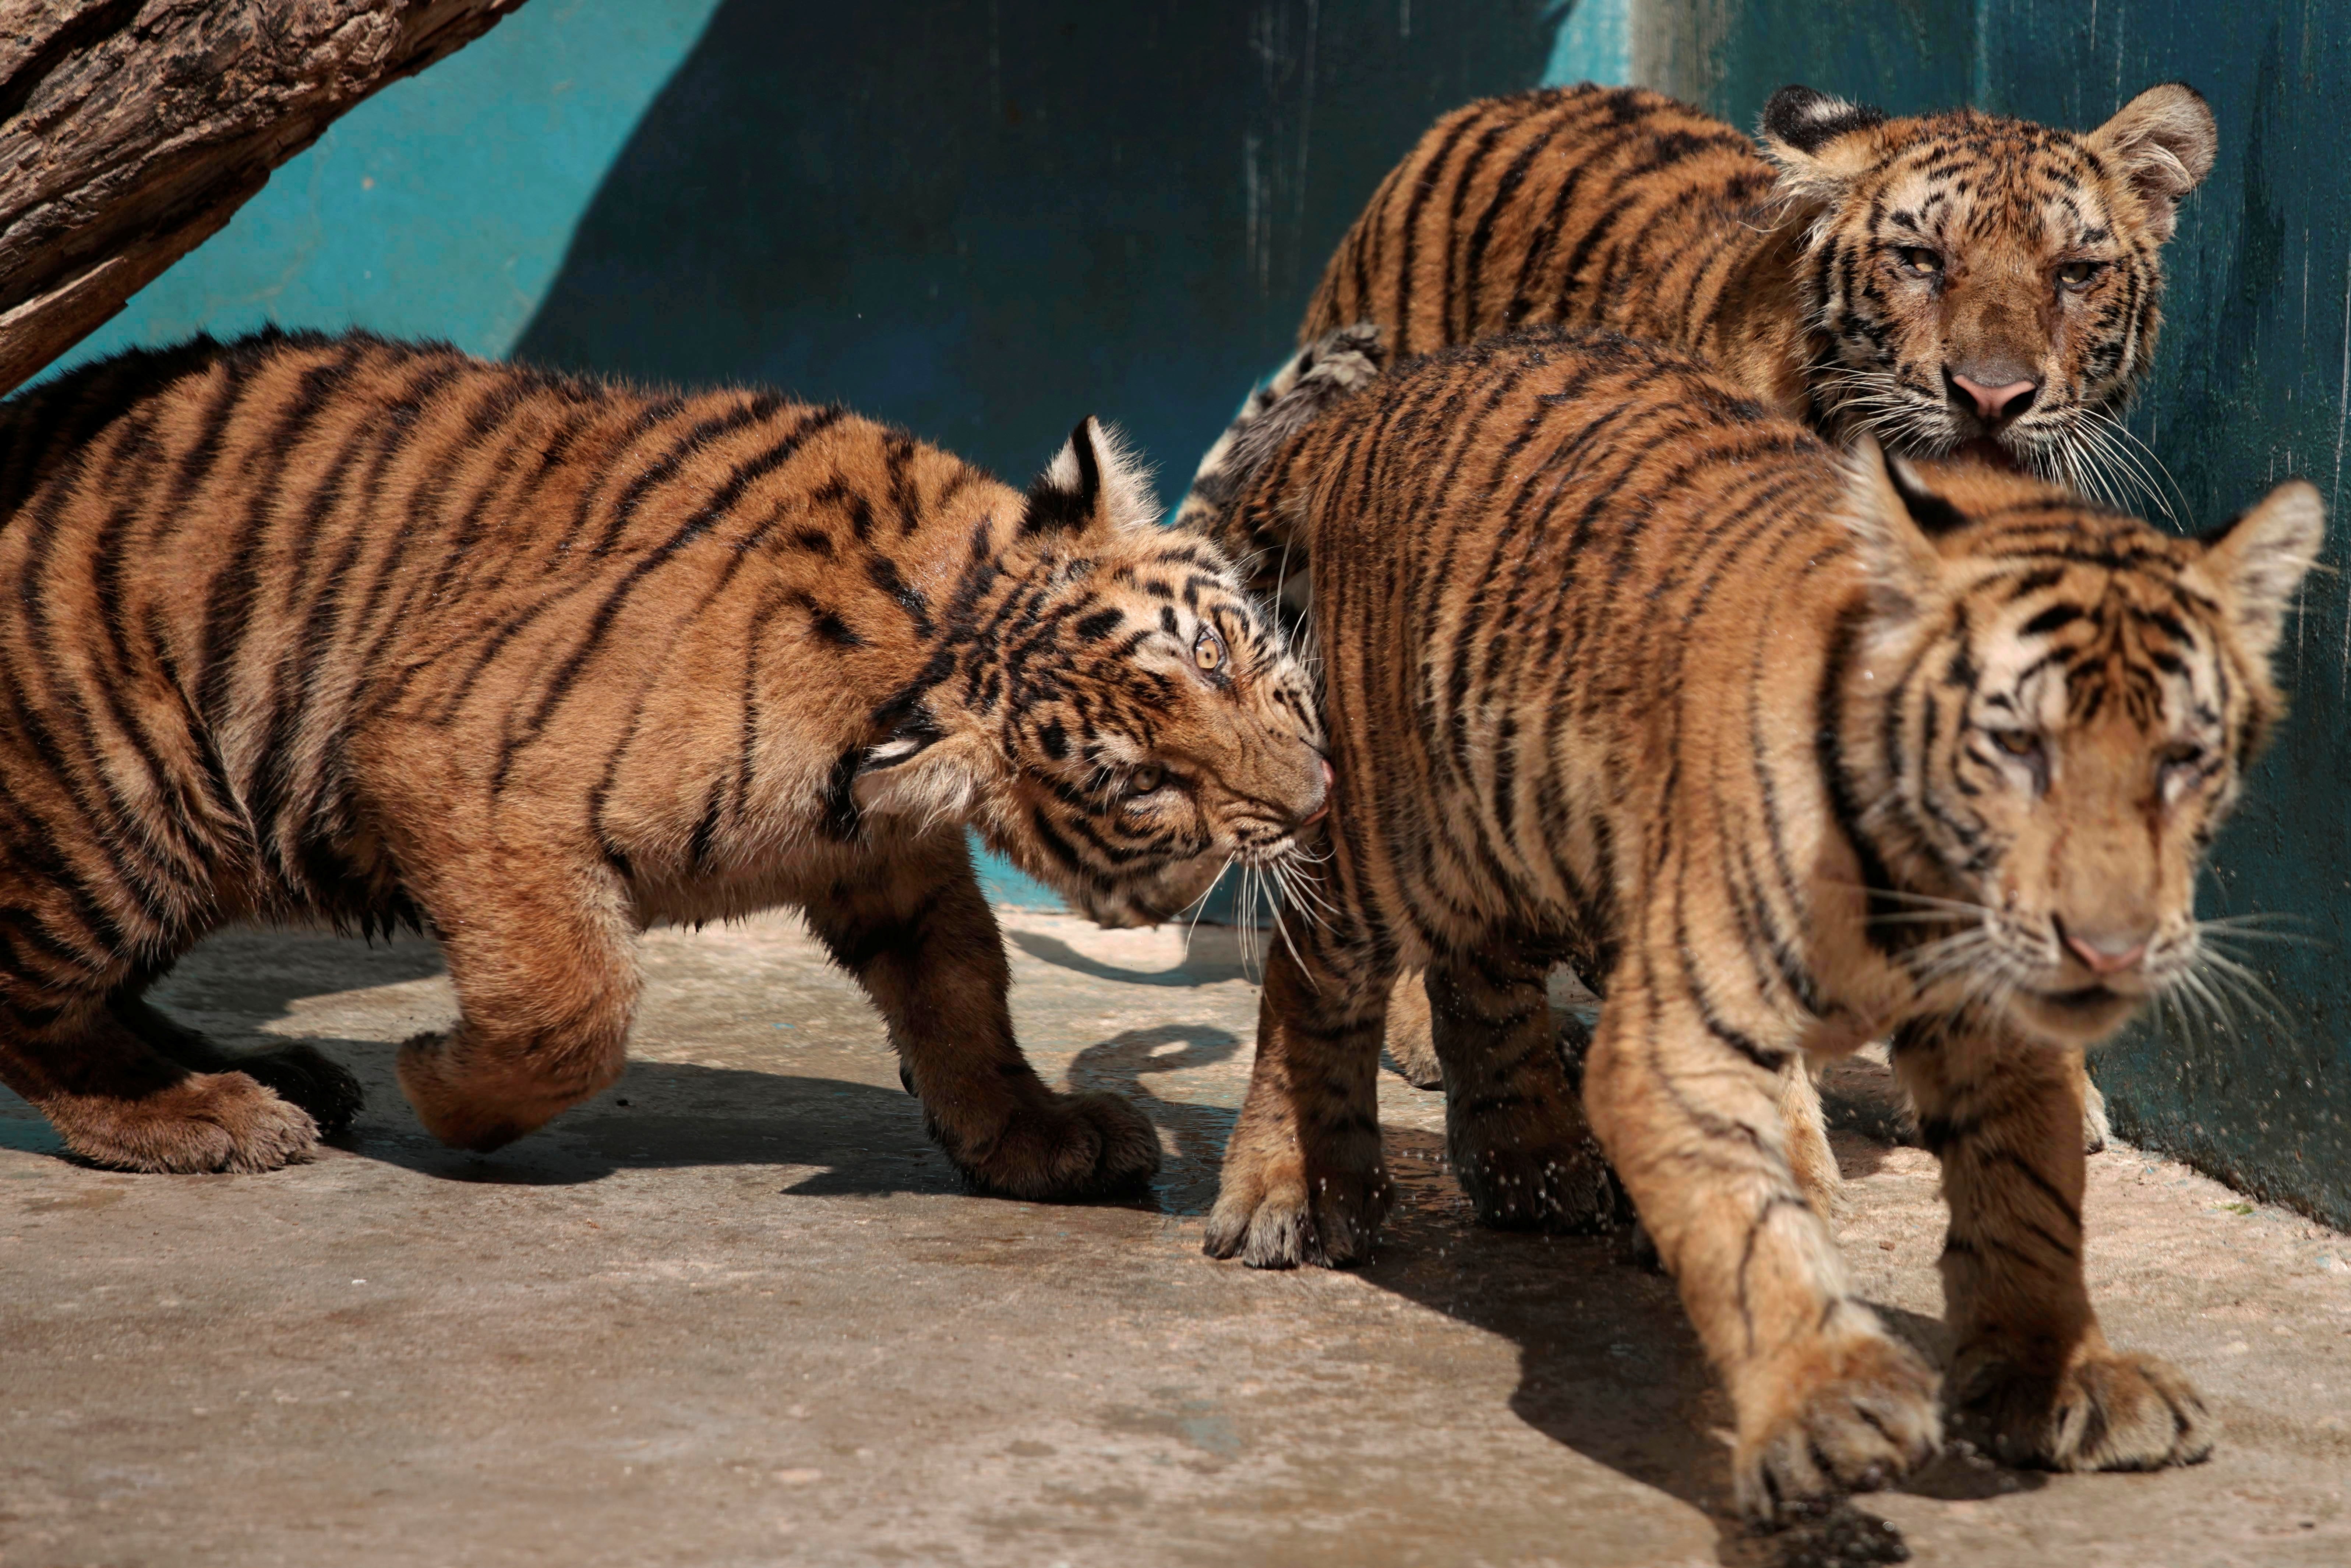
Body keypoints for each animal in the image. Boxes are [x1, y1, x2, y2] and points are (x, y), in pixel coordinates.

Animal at [0, 324, 1335, 1194]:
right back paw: (207, 1113)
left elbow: (963, 984)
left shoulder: (887, 853)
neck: (940, 626)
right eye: (1144, 783)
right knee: (32, 1004)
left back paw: (266, 1068)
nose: (1316, 799)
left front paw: (1030, 1130)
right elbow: (572, 1005)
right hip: (124, 803)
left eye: (1218, 654)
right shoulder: (455, 765)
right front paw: (443, 1087)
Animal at [1194, 331, 2313, 1523]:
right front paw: (1828, 1402)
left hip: (1513, 827)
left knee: (1479, 977)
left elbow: (2031, 1192)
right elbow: (1752, 1223)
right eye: (2016, 746)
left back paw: (1534, 1168)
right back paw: (1293, 1193)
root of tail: (1390, 394)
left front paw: (2060, 1373)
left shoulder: (2003, 1027)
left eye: (2182, 759)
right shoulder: (1682, 1025)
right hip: (1390, 833)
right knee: (1308, 973)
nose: (2108, 949)